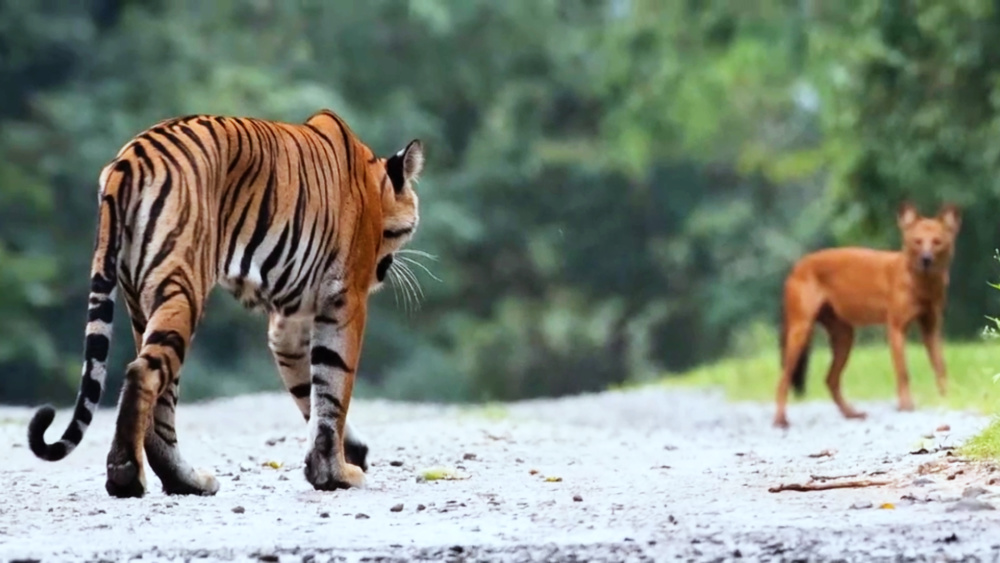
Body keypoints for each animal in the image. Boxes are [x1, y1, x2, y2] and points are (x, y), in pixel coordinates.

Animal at [23, 109, 422, 498]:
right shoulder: (345, 299)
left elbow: (308, 390)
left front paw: (342, 457)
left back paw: (186, 482)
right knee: (142, 374)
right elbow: (333, 387)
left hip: (141, 302)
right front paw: (336, 474)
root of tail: (129, 158)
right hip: (182, 287)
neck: (375, 183)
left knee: (161, 404)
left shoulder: (289, 324)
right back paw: (127, 476)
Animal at [772, 203, 960, 428]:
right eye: (917, 242)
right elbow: (903, 372)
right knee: (783, 378)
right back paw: (780, 419)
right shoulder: (896, 328)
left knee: (830, 379)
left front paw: (948, 398)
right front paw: (906, 405)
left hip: (845, 337)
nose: (926, 259)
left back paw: (851, 414)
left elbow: (941, 367)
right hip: (801, 331)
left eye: (937, 242)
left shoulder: (931, 328)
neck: (923, 286)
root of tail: (796, 266)